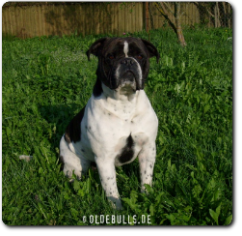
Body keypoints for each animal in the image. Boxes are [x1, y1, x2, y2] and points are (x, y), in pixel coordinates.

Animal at [59, 37, 160, 210]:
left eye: (140, 56)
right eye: (110, 57)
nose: (128, 61)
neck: (125, 105)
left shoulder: (148, 149)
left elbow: (146, 178)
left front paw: (147, 198)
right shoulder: (104, 158)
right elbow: (111, 189)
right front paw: (117, 211)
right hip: (74, 167)